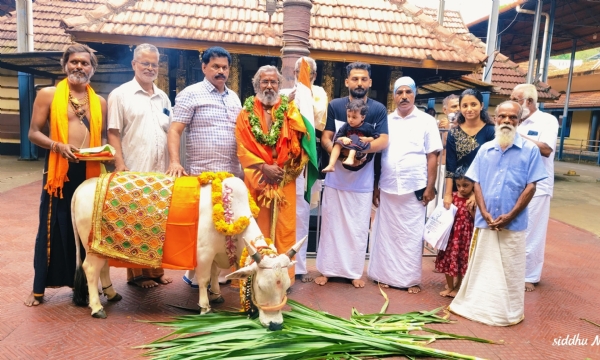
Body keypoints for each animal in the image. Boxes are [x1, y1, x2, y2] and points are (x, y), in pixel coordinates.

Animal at [71, 174, 304, 330]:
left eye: (286, 286)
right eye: (261, 286)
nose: (275, 325)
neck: (230, 210)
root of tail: (83, 186)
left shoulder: (215, 255)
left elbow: (214, 274)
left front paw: (217, 295)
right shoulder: (203, 254)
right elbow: (203, 279)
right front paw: (205, 307)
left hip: (102, 248)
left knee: (103, 269)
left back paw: (112, 294)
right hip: (91, 250)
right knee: (90, 270)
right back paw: (97, 308)